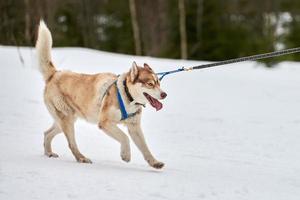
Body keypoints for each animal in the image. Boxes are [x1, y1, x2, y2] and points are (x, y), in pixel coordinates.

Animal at [35, 21, 166, 169]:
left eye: (158, 83)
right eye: (150, 84)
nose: (164, 94)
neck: (127, 96)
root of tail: (55, 74)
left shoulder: (134, 128)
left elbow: (145, 148)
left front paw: (155, 163)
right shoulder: (105, 123)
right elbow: (124, 137)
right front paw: (125, 155)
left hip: (65, 120)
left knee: (47, 133)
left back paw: (49, 153)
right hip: (67, 120)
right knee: (71, 144)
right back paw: (82, 158)